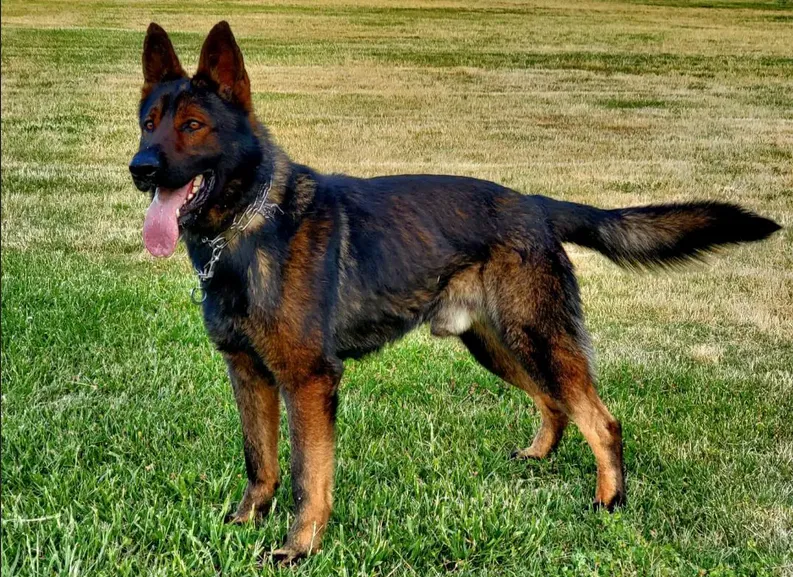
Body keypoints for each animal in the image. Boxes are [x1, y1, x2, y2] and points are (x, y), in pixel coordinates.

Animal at [130, 22, 780, 564]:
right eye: (148, 121)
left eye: (193, 126)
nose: (140, 168)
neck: (243, 227)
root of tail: (535, 204)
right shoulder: (248, 373)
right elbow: (259, 462)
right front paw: (243, 523)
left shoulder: (308, 380)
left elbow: (305, 477)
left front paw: (299, 547)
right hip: (498, 345)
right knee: (554, 403)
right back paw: (540, 457)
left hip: (536, 338)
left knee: (601, 418)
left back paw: (609, 502)